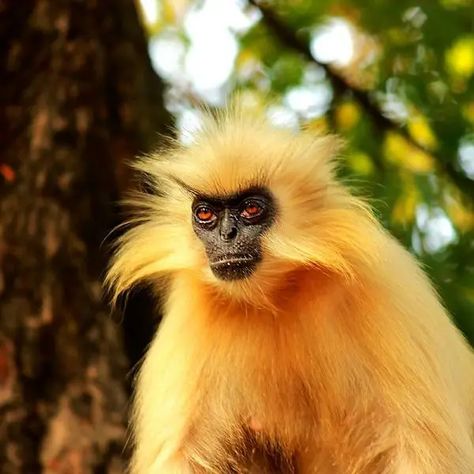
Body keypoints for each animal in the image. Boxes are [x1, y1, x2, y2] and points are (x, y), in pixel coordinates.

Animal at [107, 104, 474, 474]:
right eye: (206, 214)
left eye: (251, 209)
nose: (227, 235)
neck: (280, 294)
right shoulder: (192, 314)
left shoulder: (387, 283)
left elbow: (420, 445)